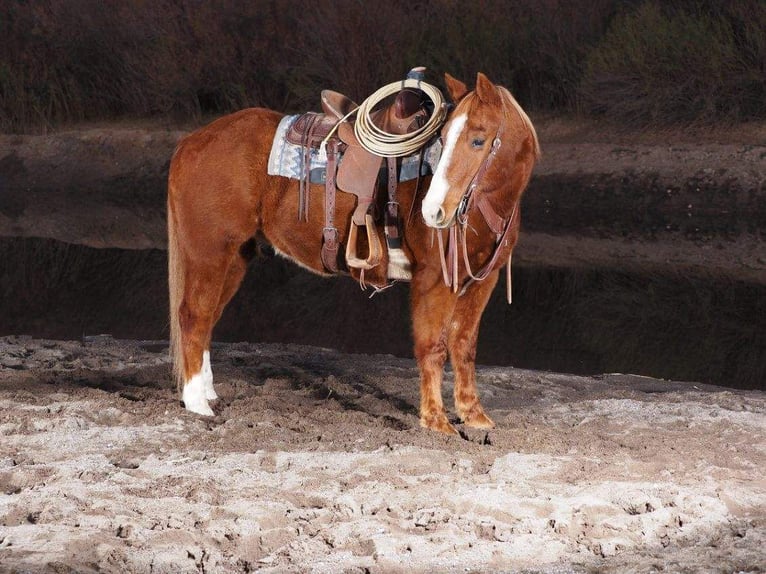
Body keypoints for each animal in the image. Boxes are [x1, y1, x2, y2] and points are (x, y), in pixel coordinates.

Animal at [168, 74, 540, 438]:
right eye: (443, 138)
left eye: (478, 141)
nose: (434, 211)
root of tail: (192, 141)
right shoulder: (433, 280)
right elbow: (432, 346)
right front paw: (436, 421)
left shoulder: (482, 281)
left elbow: (464, 345)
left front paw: (474, 415)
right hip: (209, 254)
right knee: (193, 316)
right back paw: (196, 402)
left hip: (234, 258)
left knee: (208, 318)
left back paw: (207, 392)